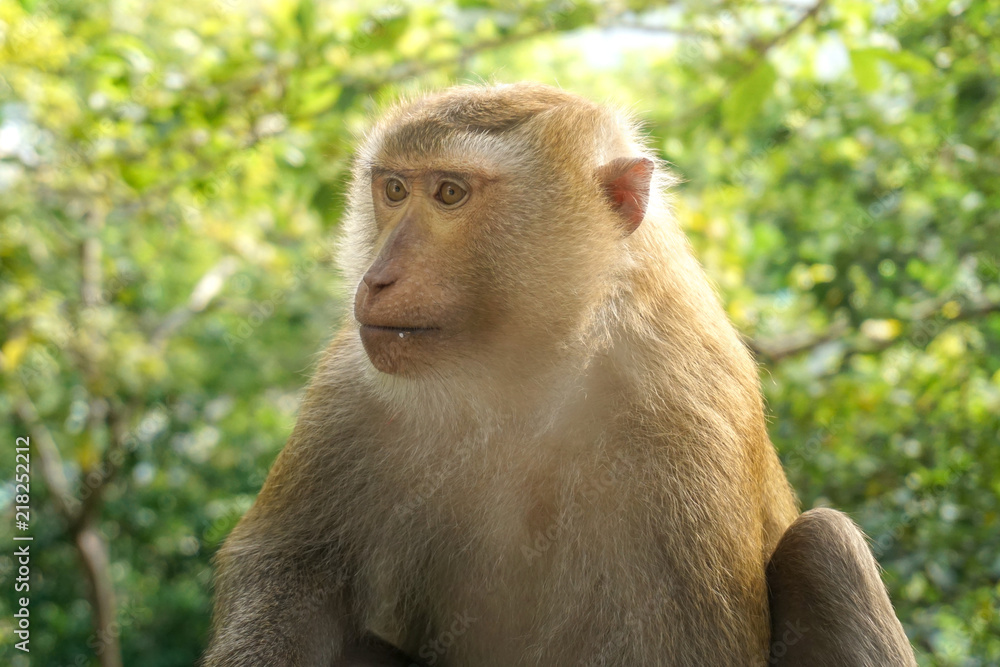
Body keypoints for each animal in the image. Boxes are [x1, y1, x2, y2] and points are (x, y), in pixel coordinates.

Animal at [203, 82, 916, 666]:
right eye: (395, 189)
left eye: (451, 193)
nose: (377, 278)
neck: (526, 376)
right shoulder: (350, 384)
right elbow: (289, 577)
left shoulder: (684, 425)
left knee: (826, 544)